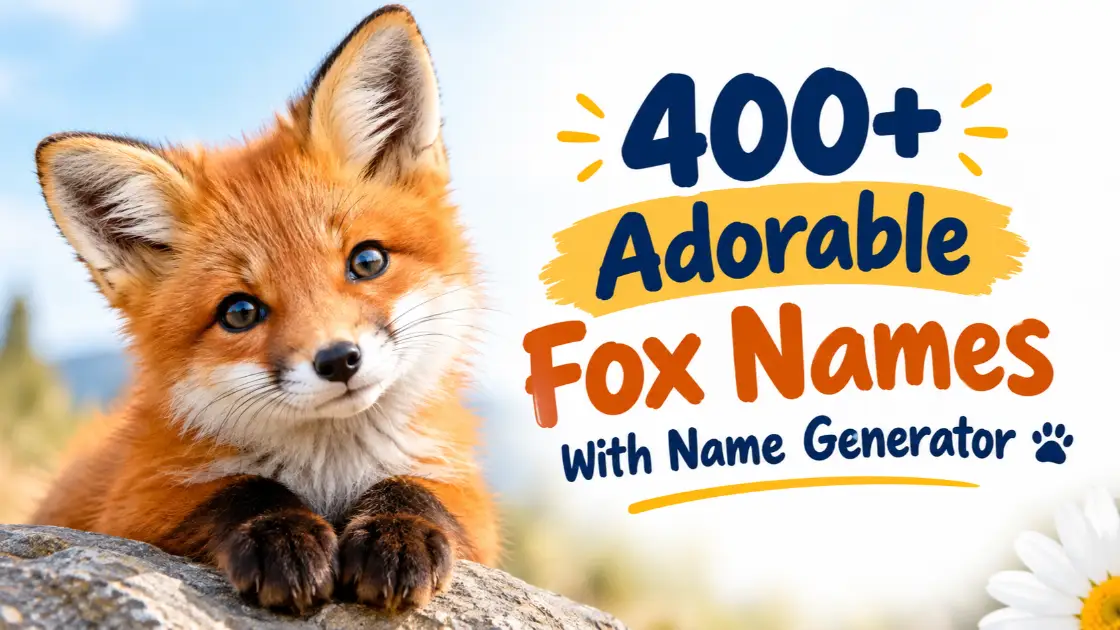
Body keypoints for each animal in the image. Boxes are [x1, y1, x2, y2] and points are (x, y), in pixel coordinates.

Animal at [29, 4, 498, 615]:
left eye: (367, 261)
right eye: (239, 313)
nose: (339, 360)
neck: (329, 475)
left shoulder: (472, 505)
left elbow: (416, 487)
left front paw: (397, 532)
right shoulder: (134, 502)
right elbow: (237, 489)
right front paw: (281, 536)